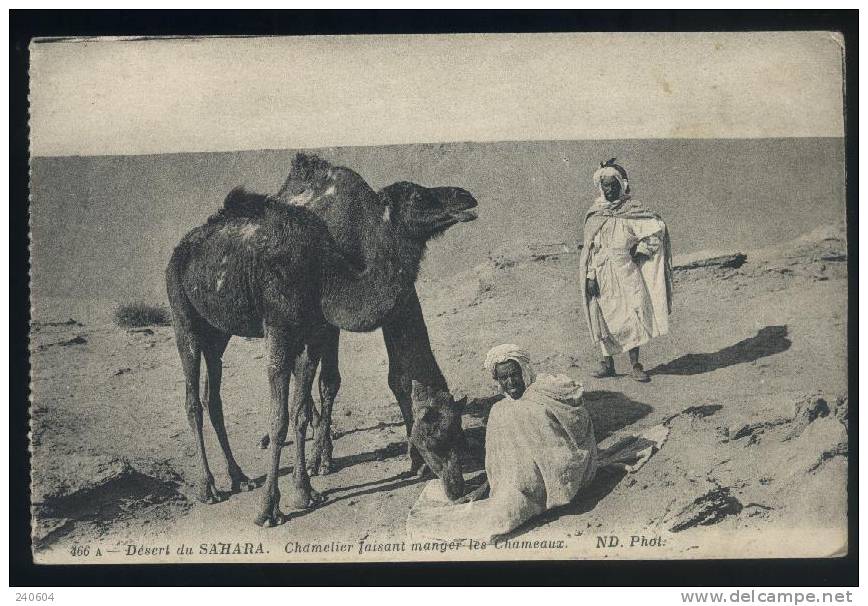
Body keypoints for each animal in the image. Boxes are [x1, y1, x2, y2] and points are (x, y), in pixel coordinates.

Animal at [166, 153, 478, 528]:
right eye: (417, 196)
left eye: (459, 435)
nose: (465, 196)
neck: (325, 272)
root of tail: (183, 246)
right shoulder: (282, 329)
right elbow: (283, 416)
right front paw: (270, 507)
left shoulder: (314, 333)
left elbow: (303, 409)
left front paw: (305, 491)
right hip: (183, 315)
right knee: (192, 400)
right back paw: (209, 487)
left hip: (218, 332)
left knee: (213, 396)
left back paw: (240, 477)